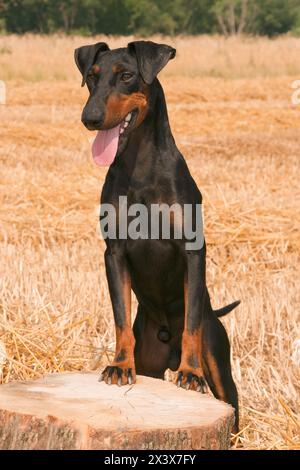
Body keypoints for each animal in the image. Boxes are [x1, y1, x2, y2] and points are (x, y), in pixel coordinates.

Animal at [75, 40, 241, 430]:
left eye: (126, 75)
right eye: (92, 77)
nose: (89, 118)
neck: (140, 165)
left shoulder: (193, 250)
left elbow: (192, 322)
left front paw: (191, 373)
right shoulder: (114, 253)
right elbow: (120, 316)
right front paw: (119, 366)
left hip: (221, 368)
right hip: (150, 359)